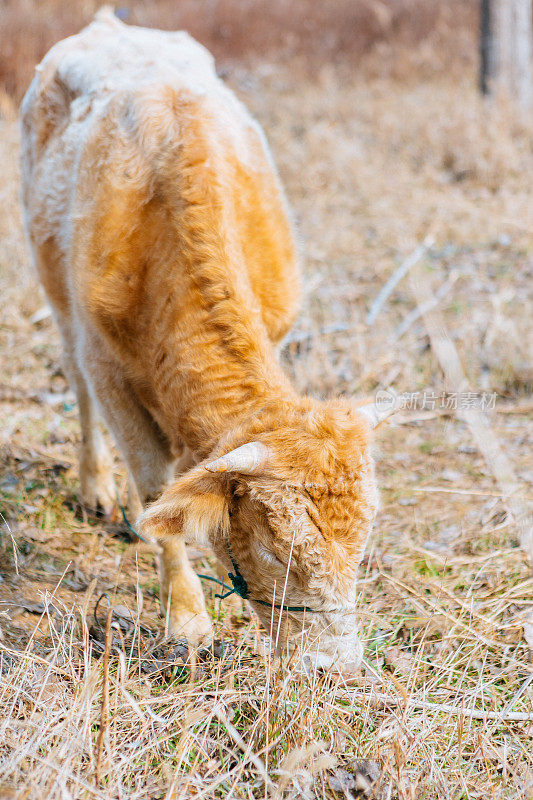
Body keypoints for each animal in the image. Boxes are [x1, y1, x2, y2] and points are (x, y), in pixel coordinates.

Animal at [20, 10, 386, 676]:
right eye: (278, 550)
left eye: (362, 542)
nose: (336, 668)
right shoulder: (109, 369)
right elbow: (155, 491)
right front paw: (188, 619)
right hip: (56, 296)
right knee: (77, 389)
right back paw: (96, 488)